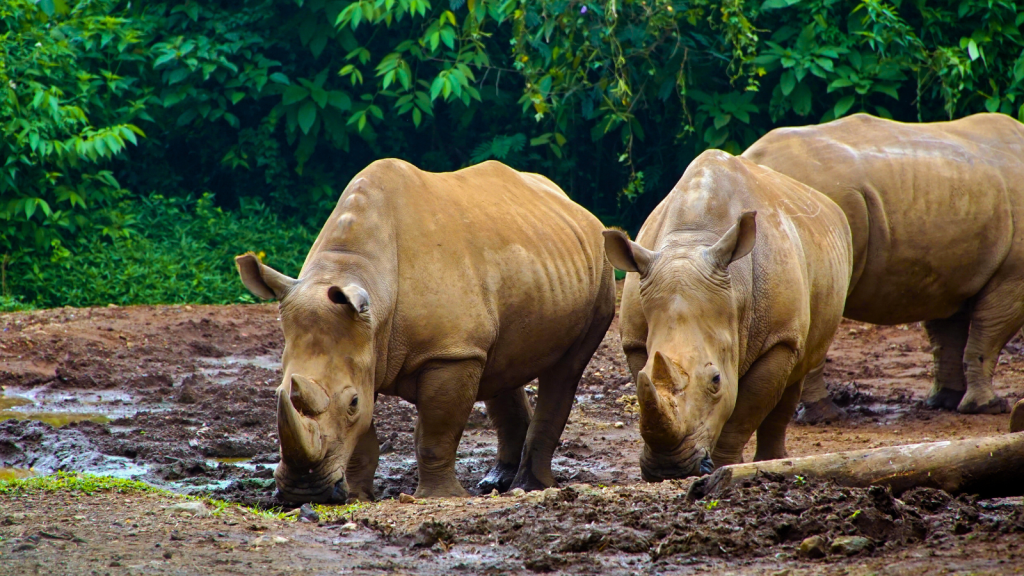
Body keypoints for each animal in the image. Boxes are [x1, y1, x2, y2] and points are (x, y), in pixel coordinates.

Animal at [234, 156, 610, 498]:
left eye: (351, 401)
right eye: (279, 393)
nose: (303, 493)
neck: (361, 276)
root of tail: (576, 207)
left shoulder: (450, 352)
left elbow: (435, 433)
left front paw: (440, 497)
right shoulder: (365, 346)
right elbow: (364, 435)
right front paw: (358, 496)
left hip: (601, 266)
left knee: (566, 371)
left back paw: (529, 487)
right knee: (502, 364)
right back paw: (495, 484)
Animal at [602, 147, 851, 475]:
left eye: (716, 380)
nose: (670, 468)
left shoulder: (779, 339)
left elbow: (744, 412)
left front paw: (724, 467)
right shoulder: (634, 340)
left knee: (795, 374)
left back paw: (773, 460)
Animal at [745, 112, 1024, 414]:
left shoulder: (951, 274)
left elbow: (948, 337)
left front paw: (945, 401)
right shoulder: (1012, 277)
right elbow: (988, 339)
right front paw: (989, 407)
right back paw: (825, 415)